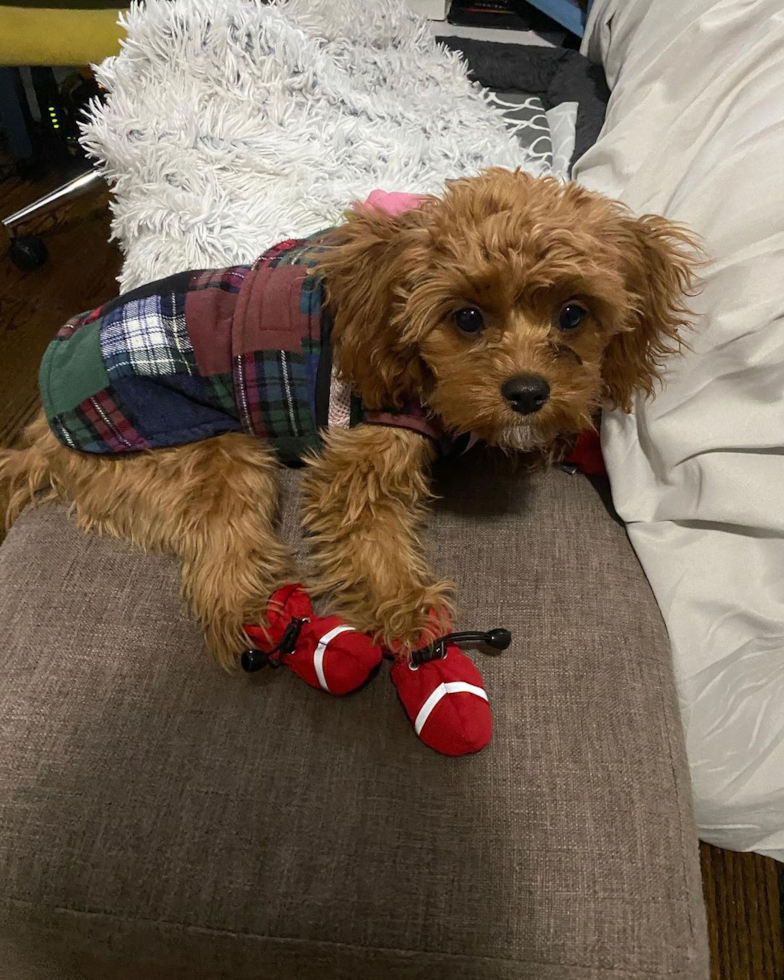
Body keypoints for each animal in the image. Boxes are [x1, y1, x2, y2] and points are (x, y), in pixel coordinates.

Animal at [1, 172, 700, 668]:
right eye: (467, 318)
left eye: (573, 314)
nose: (527, 392)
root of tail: (42, 431)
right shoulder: (359, 457)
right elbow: (370, 535)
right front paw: (406, 613)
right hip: (206, 454)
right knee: (218, 570)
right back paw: (259, 618)